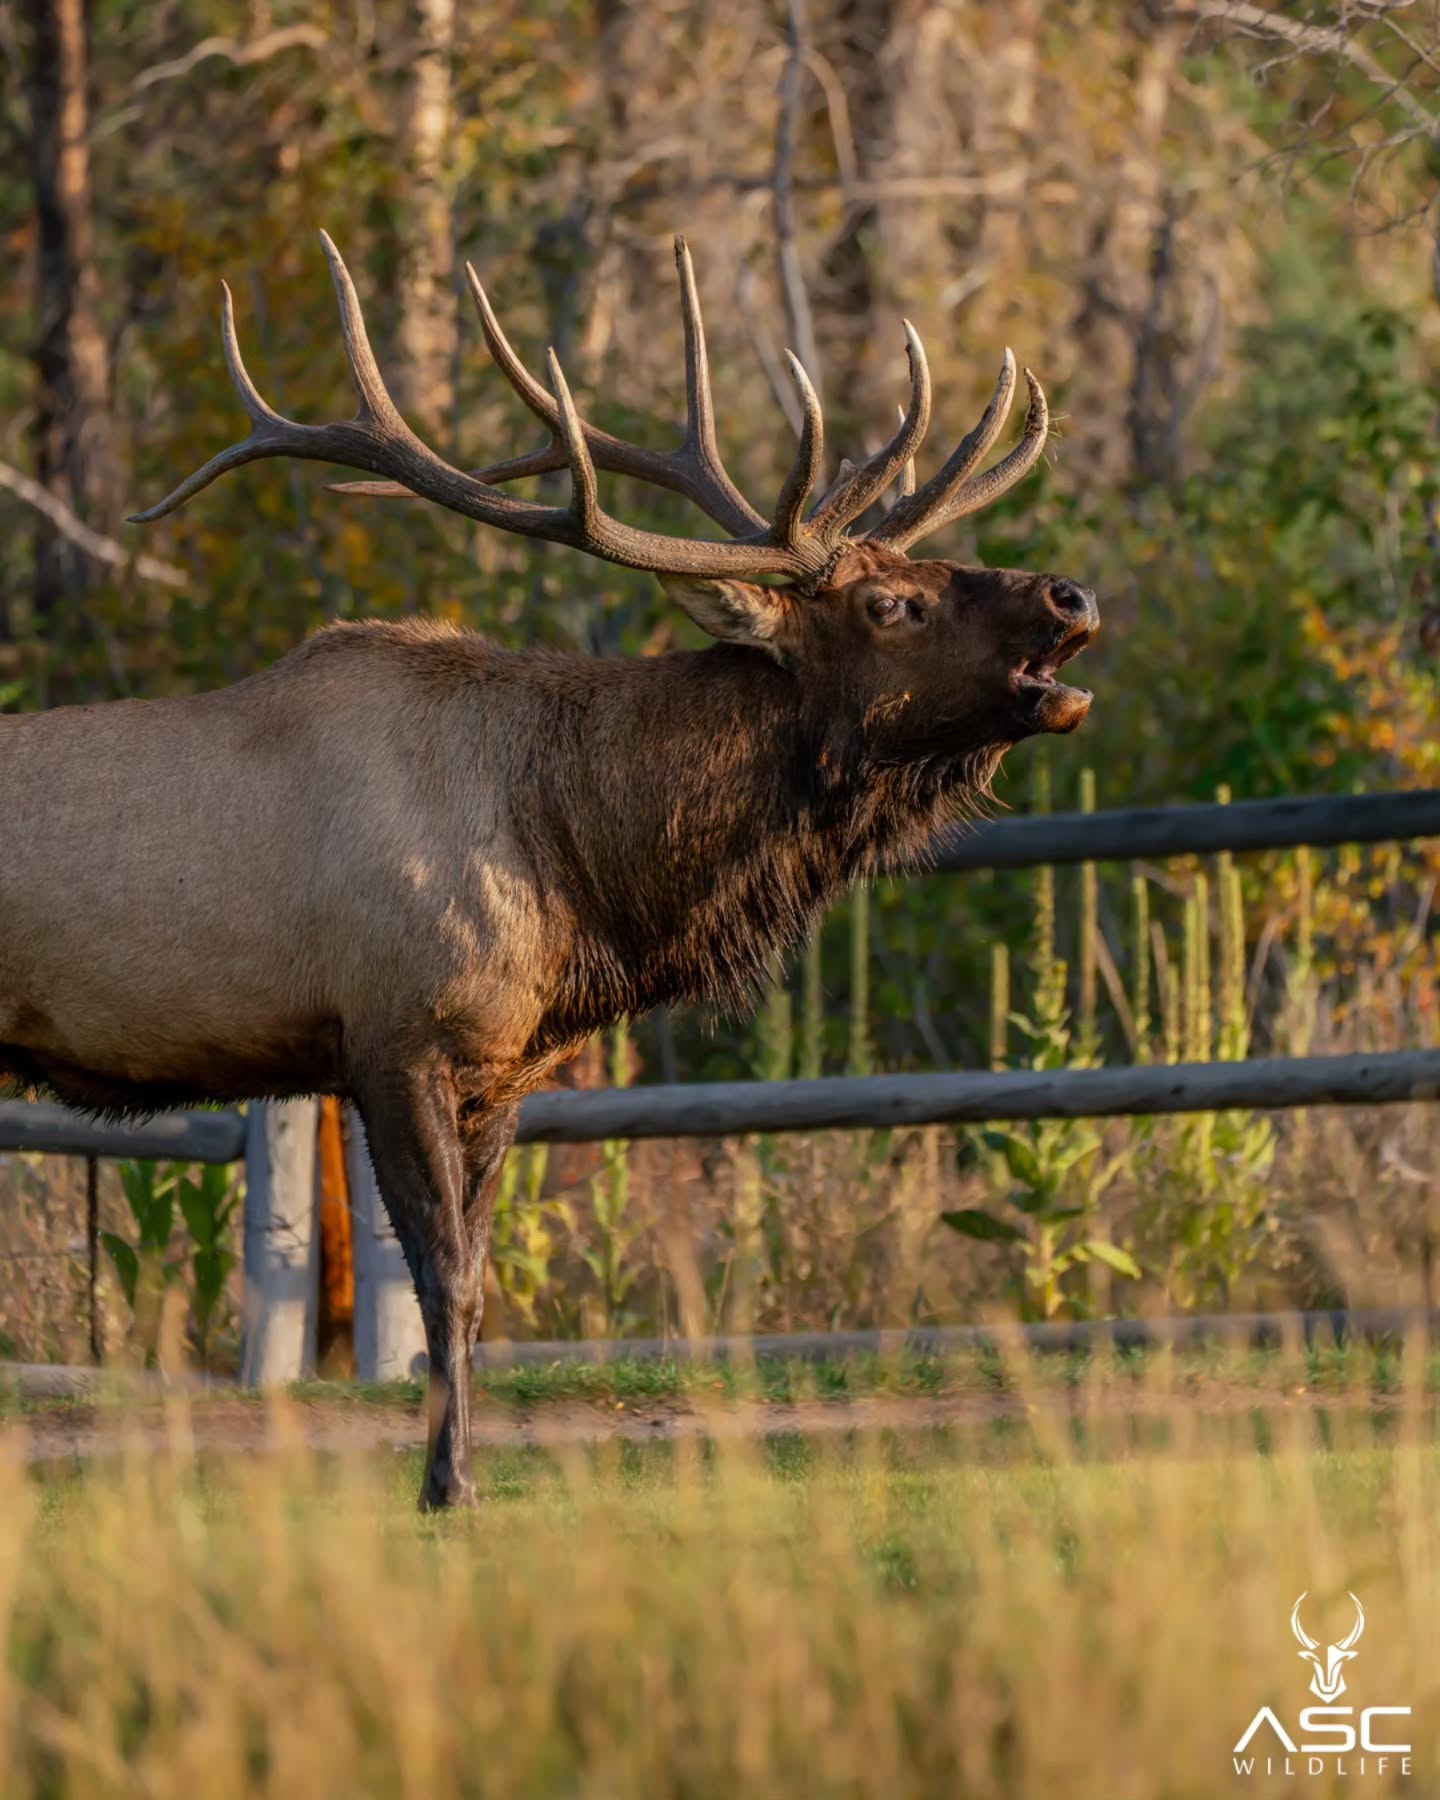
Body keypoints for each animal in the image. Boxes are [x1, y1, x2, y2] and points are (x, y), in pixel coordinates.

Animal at [0, 232, 1099, 1508]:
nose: (1071, 593)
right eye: (893, 602)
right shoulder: (395, 1036)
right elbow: (445, 1282)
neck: (576, 868)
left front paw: (458, 1476)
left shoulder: (502, 1067)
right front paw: (446, 1486)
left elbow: (474, 1286)